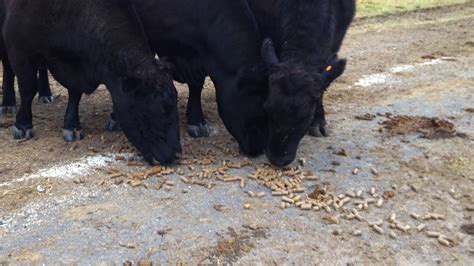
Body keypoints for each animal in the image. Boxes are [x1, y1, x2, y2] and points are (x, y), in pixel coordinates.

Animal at [3, 0, 181, 164]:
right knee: (7, 68)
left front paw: (72, 125)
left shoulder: (76, 66)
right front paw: (23, 125)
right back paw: (7, 103)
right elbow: (28, 88)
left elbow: (75, 94)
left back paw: (45, 94)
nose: (174, 153)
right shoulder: (18, 48)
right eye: (145, 111)